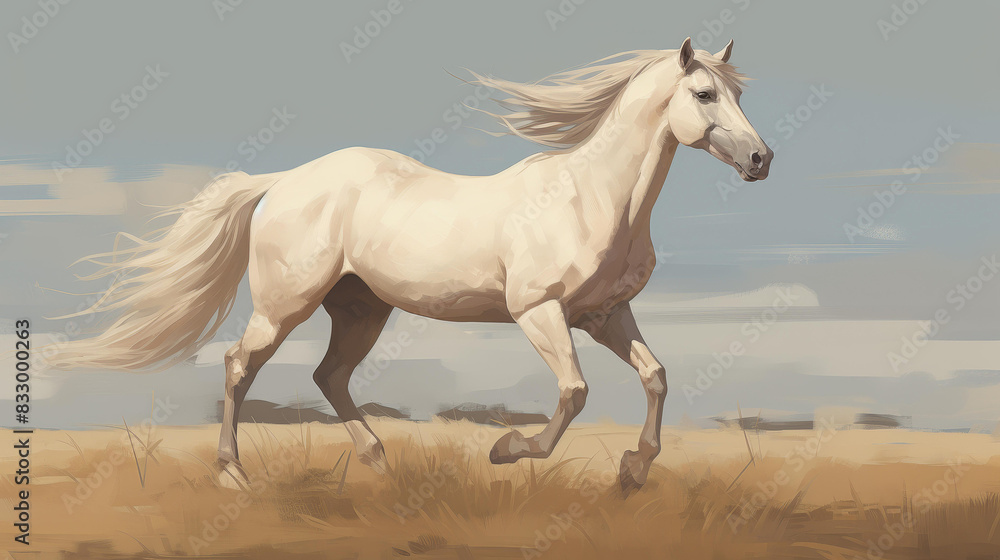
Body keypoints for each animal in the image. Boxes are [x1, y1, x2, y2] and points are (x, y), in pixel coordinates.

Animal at [50, 37, 772, 494]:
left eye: (738, 93)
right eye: (704, 94)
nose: (761, 159)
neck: (593, 197)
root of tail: (283, 181)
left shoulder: (605, 314)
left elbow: (655, 378)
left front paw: (632, 471)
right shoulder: (539, 313)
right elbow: (574, 392)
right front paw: (508, 452)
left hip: (361, 309)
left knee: (329, 375)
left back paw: (378, 461)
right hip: (285, 305)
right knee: (239, 366)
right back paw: (233, 475)